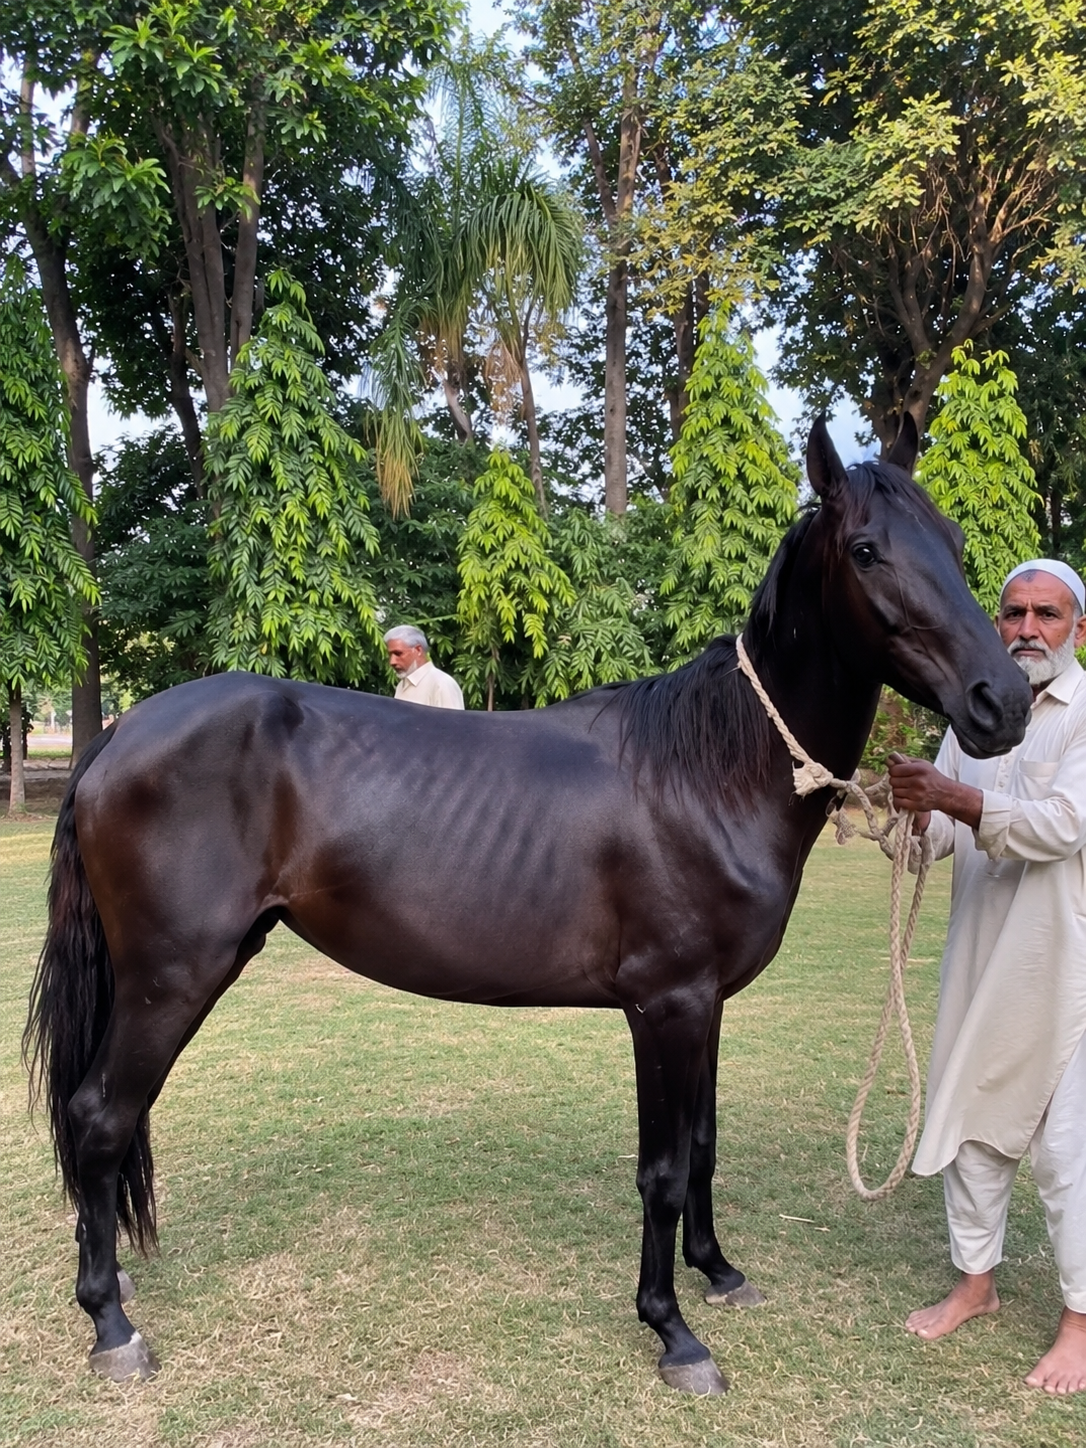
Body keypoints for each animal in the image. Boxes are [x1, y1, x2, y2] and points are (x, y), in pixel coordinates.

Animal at [25, 419, 1031, 1393]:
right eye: (865, 550)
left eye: (951, 541)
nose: (1005, 701)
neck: (709, 773)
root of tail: (118, 736)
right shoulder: (665, 1006)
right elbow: (663, 1171)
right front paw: (673, 1333)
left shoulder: (706, 1005)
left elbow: (704, 1144)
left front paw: (717, 1270)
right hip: (172, 976)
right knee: (99, 1119)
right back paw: (111, 1326)